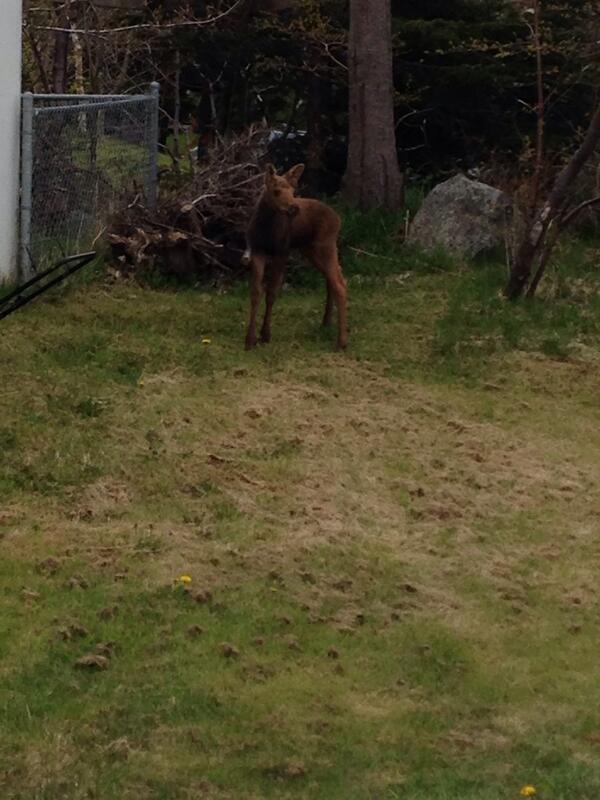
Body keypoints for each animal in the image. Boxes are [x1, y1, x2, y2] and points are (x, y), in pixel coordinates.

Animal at [242, 163, 348, 351]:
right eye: (276, 191)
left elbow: (271, 293)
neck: (266, 231)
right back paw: (326, 322)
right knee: (336, 277)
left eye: (292, 190)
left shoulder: (282, 252)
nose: (293, 208)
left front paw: (265, 335)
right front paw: (250, 340)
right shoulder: (257, 251)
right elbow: (256, 292)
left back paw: (341, 342)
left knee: (339, 283)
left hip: (325, 245)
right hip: (311, 250)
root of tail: (338, 218)